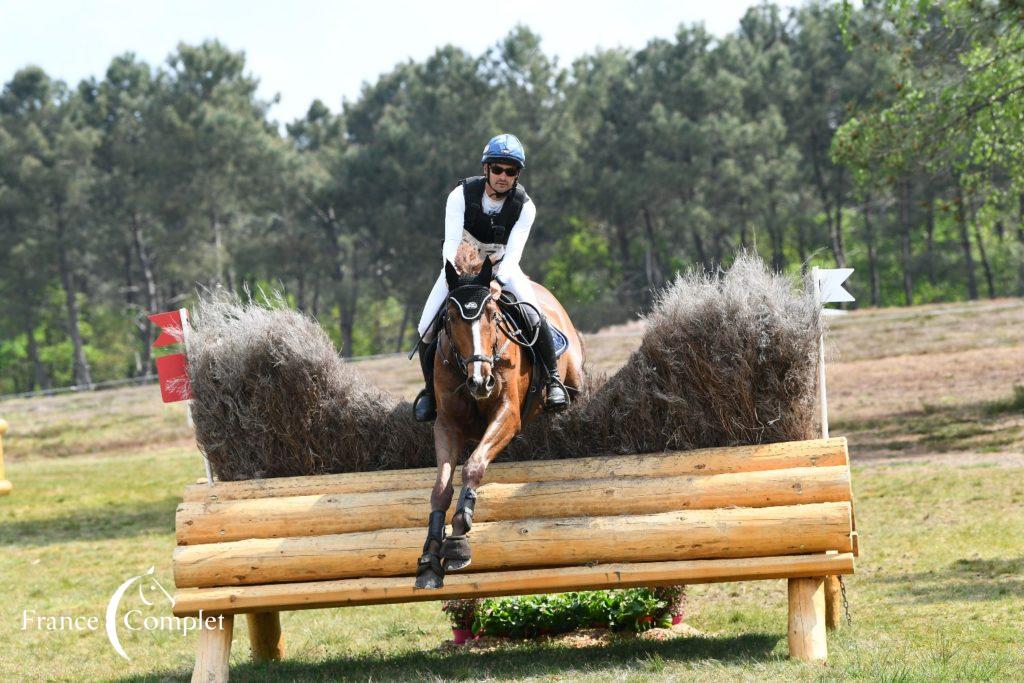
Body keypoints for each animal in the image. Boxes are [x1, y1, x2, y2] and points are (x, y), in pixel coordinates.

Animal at [413, 246, 585, 593]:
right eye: (450, 318)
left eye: (493, 316)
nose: (481, 382)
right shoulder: (447, 425)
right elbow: (441, 487)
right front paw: (429, 556)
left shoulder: (507, 415)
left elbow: (474, 465)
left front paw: (459, 539)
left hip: (576, 382)